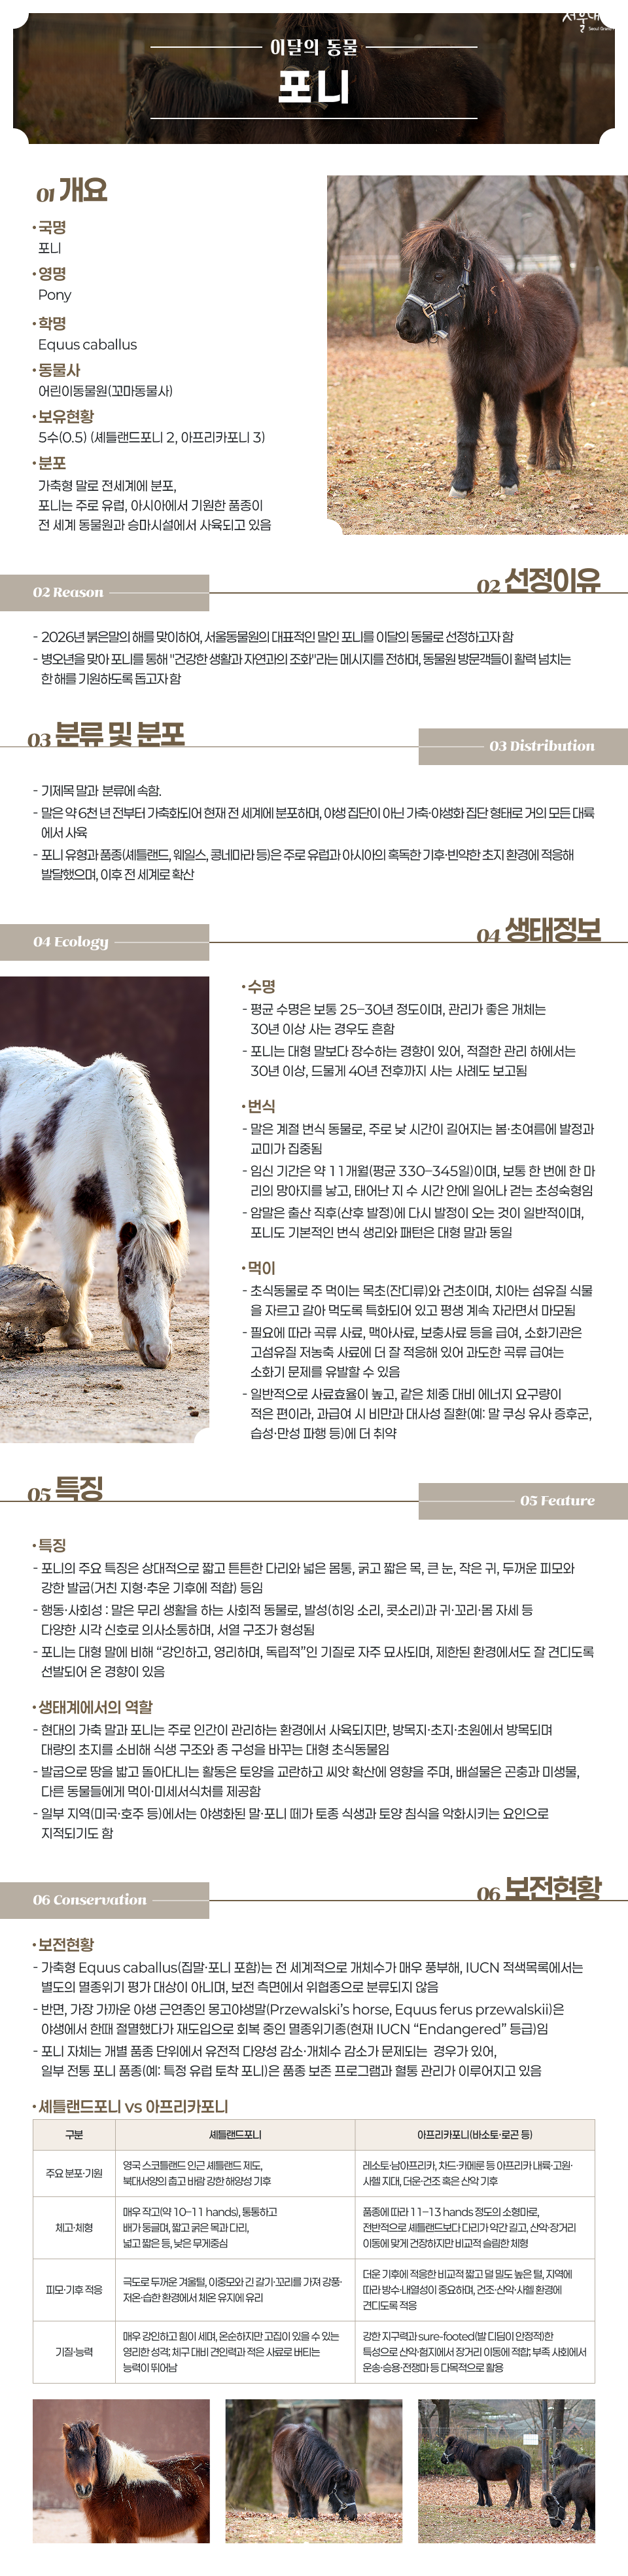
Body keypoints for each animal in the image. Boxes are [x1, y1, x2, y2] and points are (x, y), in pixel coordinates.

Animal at [0, 1048, 188, 1367]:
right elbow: (80, 1273)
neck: (106, 1128)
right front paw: (75, 1335)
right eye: (129, 1277)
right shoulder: (76, 1216)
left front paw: (129, 1340)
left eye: (172, 1279)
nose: (159, 1353)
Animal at [62, 2422, 210, 2542]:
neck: (112, 2486)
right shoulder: (99, 2532)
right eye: (69, 2454)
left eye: (94, 2454)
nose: (84, 2489)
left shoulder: (125, 2533)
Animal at [272, 2422, 360, 2520]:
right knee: (290, 2495)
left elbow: (315, 2498)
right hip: (285, 2481)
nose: (354, 2516)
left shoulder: (316, 2482)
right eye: (345, 2492)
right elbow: (305, 2496)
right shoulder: (299, 2483)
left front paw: (314, 2515)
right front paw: (307, 2516)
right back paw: (292, 2514)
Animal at [396, 223, 579, 496]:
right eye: (414, 274)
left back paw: (553, 465)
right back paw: (533, 460)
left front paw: (509, 482)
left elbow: (506, 433)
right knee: (535, 419)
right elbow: (466, 434)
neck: (486, 335)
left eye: (439, 276)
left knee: (551, 416)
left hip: (559, 377)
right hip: (532, 387)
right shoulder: (464, 388)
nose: (404, 325)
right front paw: (461, 484)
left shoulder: (507, 389)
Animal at [441, 2435, 531, 2509]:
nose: (442, 2460)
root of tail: (523, 2454)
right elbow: (480, 2490)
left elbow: (484, 2489)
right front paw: (480, 2503)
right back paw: (528, 2505)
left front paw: (488, 2503)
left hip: (511, 2478)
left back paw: (509, 2505)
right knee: (526, 2488)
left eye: (449, 2448)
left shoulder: (480, 2478)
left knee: (514, 2490)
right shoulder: (479, 2478)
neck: (474, 2456)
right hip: (522, 2478)